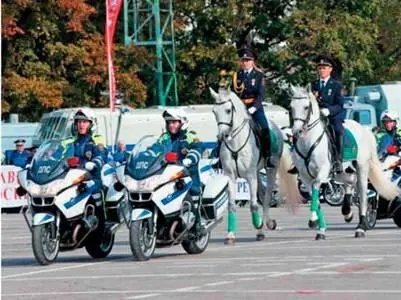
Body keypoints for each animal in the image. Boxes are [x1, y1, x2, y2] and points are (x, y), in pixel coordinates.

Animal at [209, 86, 300, 244]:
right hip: (257, 172)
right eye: (214, 111)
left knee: (267, 196)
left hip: (271, 170)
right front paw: (230, 235)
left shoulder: (250, 176)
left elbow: (253, 204)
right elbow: (232, 205)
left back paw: (264, 226)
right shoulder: (230, 176)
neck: (235, 142)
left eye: (228, 110)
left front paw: (258, 226)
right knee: (262, 195)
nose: (222, 136)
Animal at [290, 85, 398, 239]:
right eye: (291, 107)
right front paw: (320, 229)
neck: (308, 141)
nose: (296, 132)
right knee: (350, 183)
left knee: (363, 194)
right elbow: (314, 196)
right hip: (342, 172)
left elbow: (316, 187)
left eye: (306, 107)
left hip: (361, 167)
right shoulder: (305, 176)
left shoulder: (322, 172)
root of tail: (365, 130)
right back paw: (347, 212)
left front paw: (313, 220)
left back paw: (361, 227)